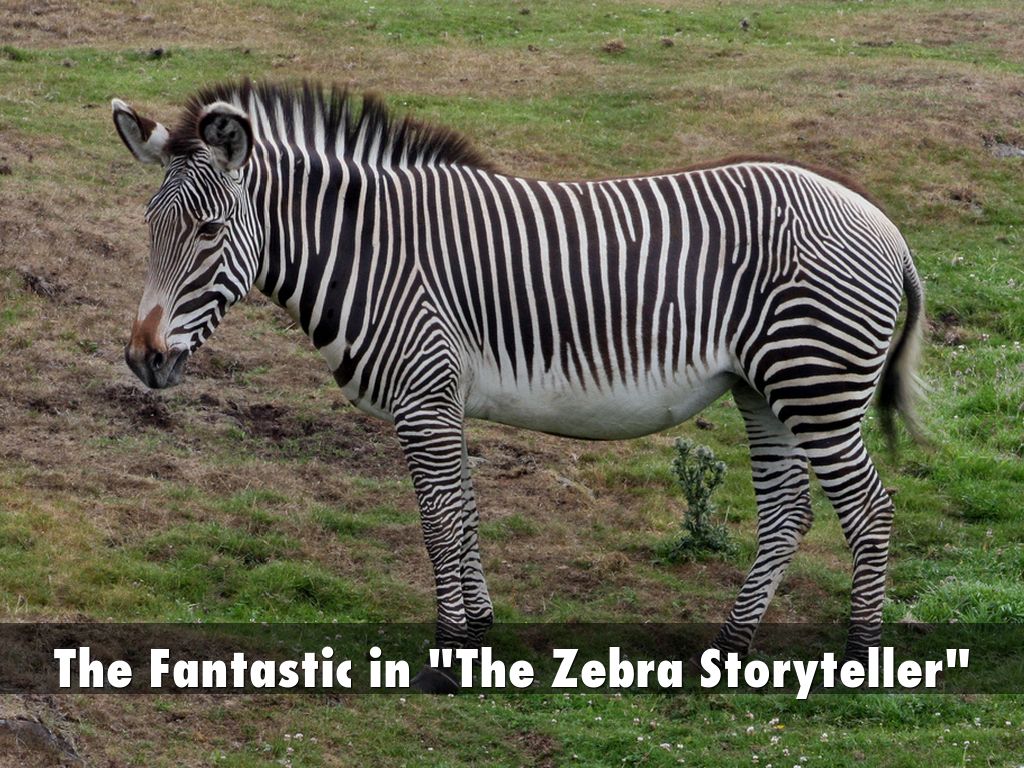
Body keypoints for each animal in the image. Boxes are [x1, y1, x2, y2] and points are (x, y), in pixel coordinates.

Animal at [112, 80, 924, 692]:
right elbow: (465, 514)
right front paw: (478, 633)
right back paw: (729, 649)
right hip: (765, 389)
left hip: (816, 384)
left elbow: (440, 521)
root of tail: (884, 225)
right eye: (151, 224)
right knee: (788, 513)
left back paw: (857, 661)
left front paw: (447, 657)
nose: (142, 359)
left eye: (210, 231)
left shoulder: (424, 395)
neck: (374, 255)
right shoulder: (442, 400)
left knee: (869, 511)